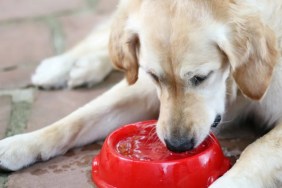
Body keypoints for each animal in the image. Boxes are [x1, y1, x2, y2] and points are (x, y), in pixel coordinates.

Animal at [0, 0, 282, 187]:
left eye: (201, 77)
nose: (177, 146)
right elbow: (77, 119)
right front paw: (21, 144)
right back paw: (63, 66)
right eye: (154, 76)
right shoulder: (143, 85)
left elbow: (258, 149)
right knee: (112, 38)